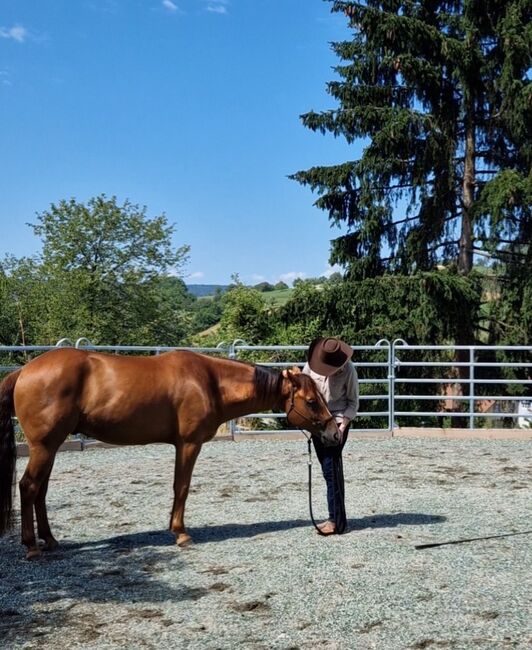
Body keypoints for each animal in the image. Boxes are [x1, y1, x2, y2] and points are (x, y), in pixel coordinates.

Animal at [0, 350, 338, 556]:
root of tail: (24, 371)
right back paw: (31, 546)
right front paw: (181, 533)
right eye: (311, 401)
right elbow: (182, 487)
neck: (209, 381)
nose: (334, 432)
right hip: (44, 447)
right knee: (28, 487)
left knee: (40, 491)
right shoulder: (188, 444)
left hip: (50, 447)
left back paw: (50, 540)